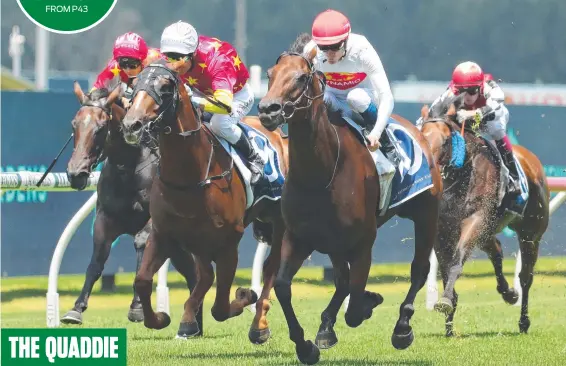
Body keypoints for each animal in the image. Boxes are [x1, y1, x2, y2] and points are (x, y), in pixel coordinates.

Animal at [120, 59, 288, 344]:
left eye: (165, 88)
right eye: (135, 83)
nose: (132, 125)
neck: (190, 175)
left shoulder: (229, 242)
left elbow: (220, 307)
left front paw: (245, 295)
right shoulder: (163, 233)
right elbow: (142, 280)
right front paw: (161, 318)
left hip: (277, 221)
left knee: (270, 268)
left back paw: (259, 325)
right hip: (198, 237)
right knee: (206, 275)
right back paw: (188, 320)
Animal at [260, 33, 446, 364]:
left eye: (301, 77)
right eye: (270, 74)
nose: (268, 109)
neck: (319, 175)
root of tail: (420, 133)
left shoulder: (363, 243)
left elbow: (356, 307)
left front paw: (371, 302)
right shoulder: (299, 237)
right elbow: (282, 286)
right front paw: (306, 344)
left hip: (426, 213)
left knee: (418, 270)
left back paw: (402, 327)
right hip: (335, 241)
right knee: (342, 280)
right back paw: (326, 327)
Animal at [422, 95, 552, 338]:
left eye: (446, 140)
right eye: (421, 136)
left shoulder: (475, 220)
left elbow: (456, 262)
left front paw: (445, 301)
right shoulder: (443, 231)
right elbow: (446, 268)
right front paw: (449, 326)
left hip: (530, 233)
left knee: (526, 277)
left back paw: (523, 320)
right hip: (488, 231)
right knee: (497, 251)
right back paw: (508, 292)